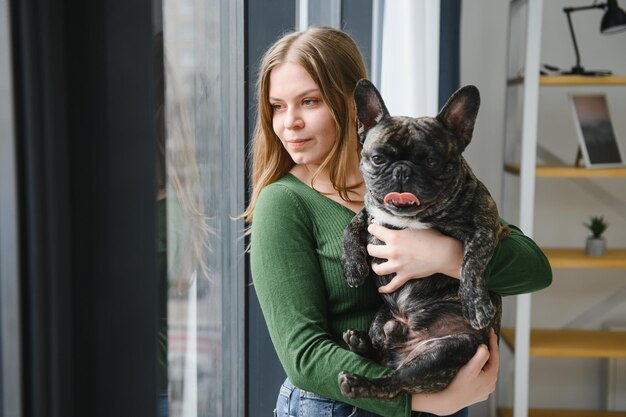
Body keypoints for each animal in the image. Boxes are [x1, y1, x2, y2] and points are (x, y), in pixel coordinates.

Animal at [336, 79, 508, 398]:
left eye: (431, 160)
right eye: (378, 158)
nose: (402, 170)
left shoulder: (486, 227)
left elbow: (472, 263)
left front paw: (476, 304)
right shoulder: (370, 212)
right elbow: (351, 227)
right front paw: (353, 267)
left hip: (446, 351)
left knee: (395, 382)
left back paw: (358, 382)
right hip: (382, 319)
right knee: (381, 350)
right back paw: (360, 342)